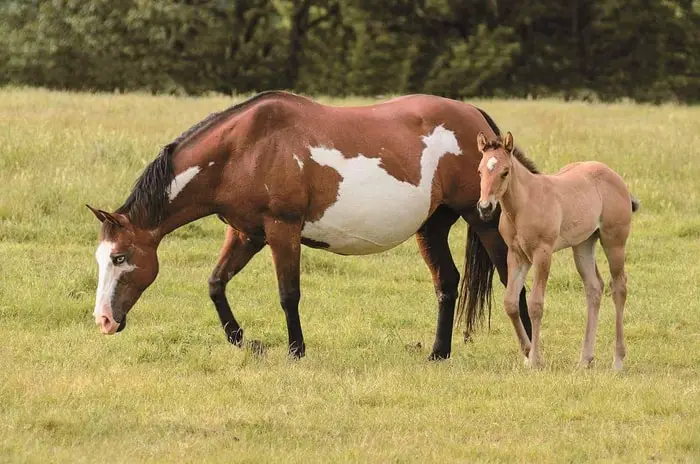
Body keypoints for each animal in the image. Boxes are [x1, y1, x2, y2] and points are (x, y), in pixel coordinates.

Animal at [89, 90, 536, 358]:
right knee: (446, 282)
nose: (104, 321)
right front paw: (241, 339)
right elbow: (216, 283)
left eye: (120, 257)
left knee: (513, 281)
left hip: (483, 220)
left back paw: (531, 350)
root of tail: (477, 120)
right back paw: (438, 354)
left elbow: (289, 294)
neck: (246, 149)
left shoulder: (281, 229)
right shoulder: (246, 233)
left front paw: (296, 350)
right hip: (433, 225)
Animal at [476, 132, 640, 372]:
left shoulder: (543, 253)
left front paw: (535, 360)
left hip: (614, 242)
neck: (524, 204)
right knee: (594, 287)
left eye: (504, 172)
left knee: (618, 287)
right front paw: (528, 353)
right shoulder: (517, 255)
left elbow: (535, 304)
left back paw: (617, 361)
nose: (485, 208)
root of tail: (616, 177)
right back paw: (585, 359)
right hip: (583, 244)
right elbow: (511, 303)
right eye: (480, 171)